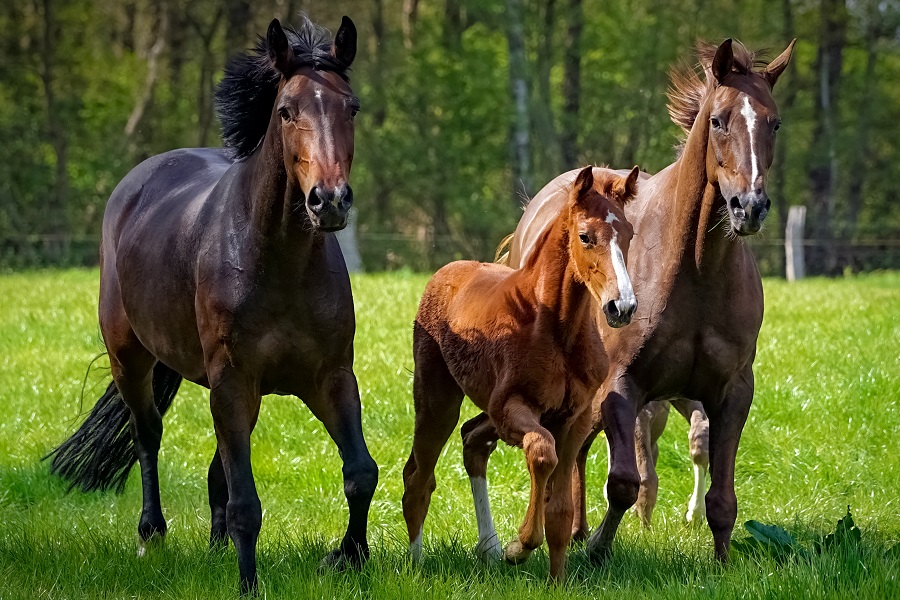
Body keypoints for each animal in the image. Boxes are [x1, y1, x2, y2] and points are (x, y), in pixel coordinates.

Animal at [44, 15, 376, 596]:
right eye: (286, 110)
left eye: (350, 107)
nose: (329, 201)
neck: (278, 262)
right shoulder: (233, 380)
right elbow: (247, 503)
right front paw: (248, 583)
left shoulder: (330, 377)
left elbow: (359, 472)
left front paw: (348, 558)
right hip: (131, 359)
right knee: (147, 435)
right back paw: (151, 533)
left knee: (216, 465)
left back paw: (216, 546)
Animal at [400, 165, 640, 580]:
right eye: (585, 236)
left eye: (627, 234)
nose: (621, 306)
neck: (555, 327)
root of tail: (447, 271)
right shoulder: (510, 407)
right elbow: (542, 452)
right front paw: (520, 546)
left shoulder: (575, 418)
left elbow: (561, 509)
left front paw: (557, 581)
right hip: (437, 401)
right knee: (419, 477)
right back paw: (418, 565)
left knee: (470, 443)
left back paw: (487, 549)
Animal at [500, 38, 796, 564]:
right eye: (718, 120)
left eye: (774, 122)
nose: (750, 207)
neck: (695, 271)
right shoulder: (623, 387)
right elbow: (623, 482)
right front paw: (597, 550)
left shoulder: (732, 392)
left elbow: (722, 496)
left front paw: (722, 562)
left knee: (577, 450)